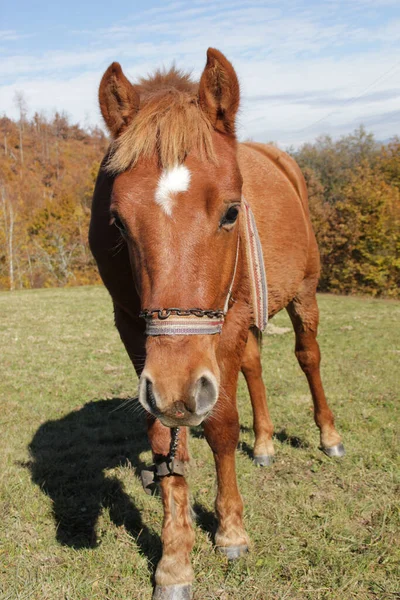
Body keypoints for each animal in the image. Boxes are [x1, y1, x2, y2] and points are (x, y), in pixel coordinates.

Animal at [89, 48, 346, 600]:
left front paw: (230, 530)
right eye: (118, 222)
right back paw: (265, 443)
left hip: (303, 294)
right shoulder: (138, 335)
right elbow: (164, 438)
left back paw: (329, 437)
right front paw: (174, 560)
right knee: (252, 366)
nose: (178, 388)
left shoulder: (224, 331)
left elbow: (223, 425)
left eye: (230, 212)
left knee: (308, 358)